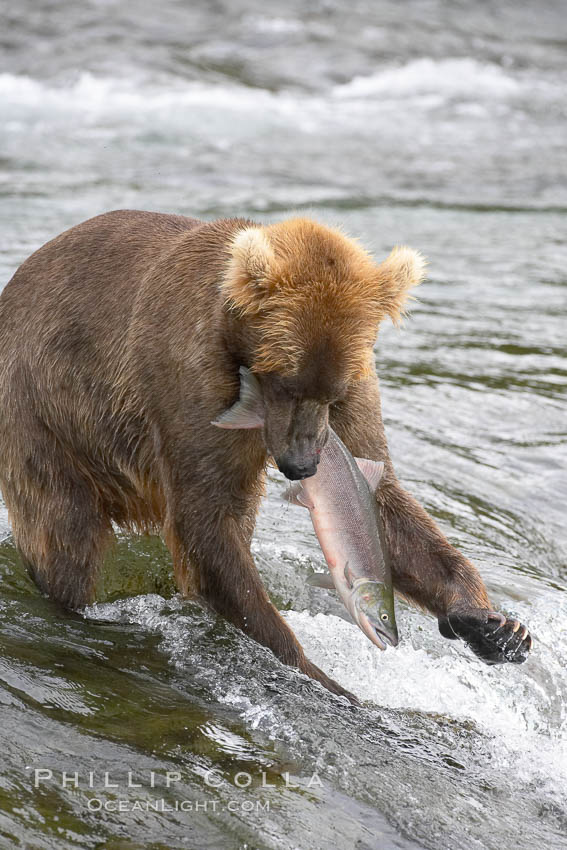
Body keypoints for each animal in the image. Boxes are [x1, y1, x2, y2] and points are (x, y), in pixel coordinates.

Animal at [0, 209, 532, 700]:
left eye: (331, 391)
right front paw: (316, 672)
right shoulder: (187, 379)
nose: (302, 464)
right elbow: (206, 516)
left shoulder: (355, 393)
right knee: (66, 531)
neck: (238, 347)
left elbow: (383, 496)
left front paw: (496, 626)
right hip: (45, 417)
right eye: (286, 381)